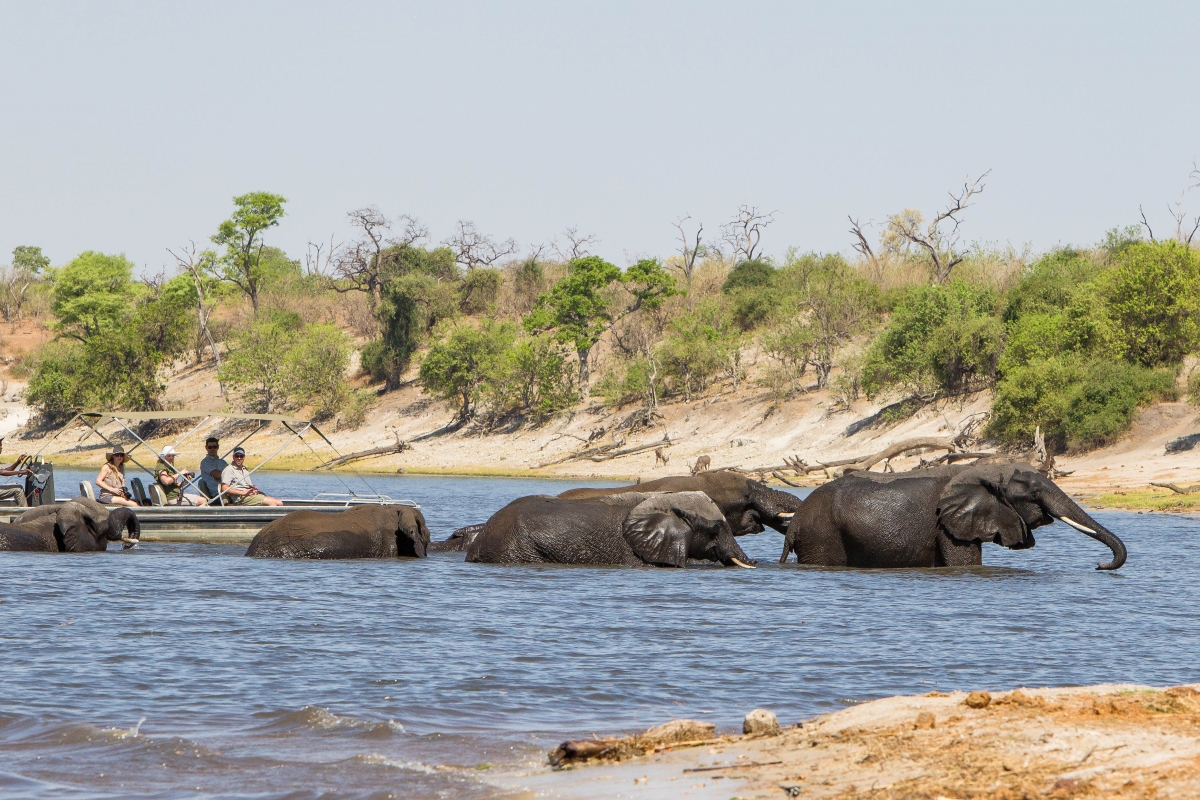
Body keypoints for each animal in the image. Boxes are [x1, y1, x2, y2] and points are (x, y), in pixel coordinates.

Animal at [777, 462, 1123, 568]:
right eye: (1034, 493)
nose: (1099, 566)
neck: (986, 469)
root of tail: (794, 523)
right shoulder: (949, 525)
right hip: (822, 536)